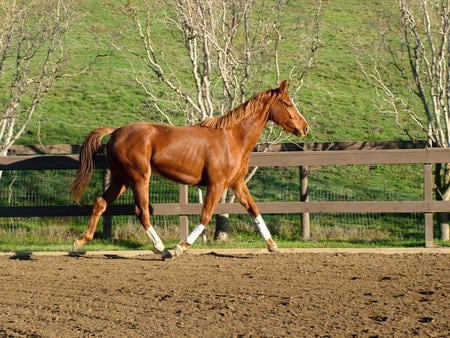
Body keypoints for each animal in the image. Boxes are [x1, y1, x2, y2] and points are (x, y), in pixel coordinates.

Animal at [71, 81, 310, 258]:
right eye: (287, 103)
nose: (305, 127)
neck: (232, 138)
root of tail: (115, 132)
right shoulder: (216, 185)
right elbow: (205, 216)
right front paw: (180, 247)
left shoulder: (237, 183)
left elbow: (254, 210)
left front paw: (272, 245)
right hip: (139, 178)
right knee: (142, 211)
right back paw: (162, 249)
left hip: (121, 179)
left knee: (101, 203)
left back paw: (79, 242)